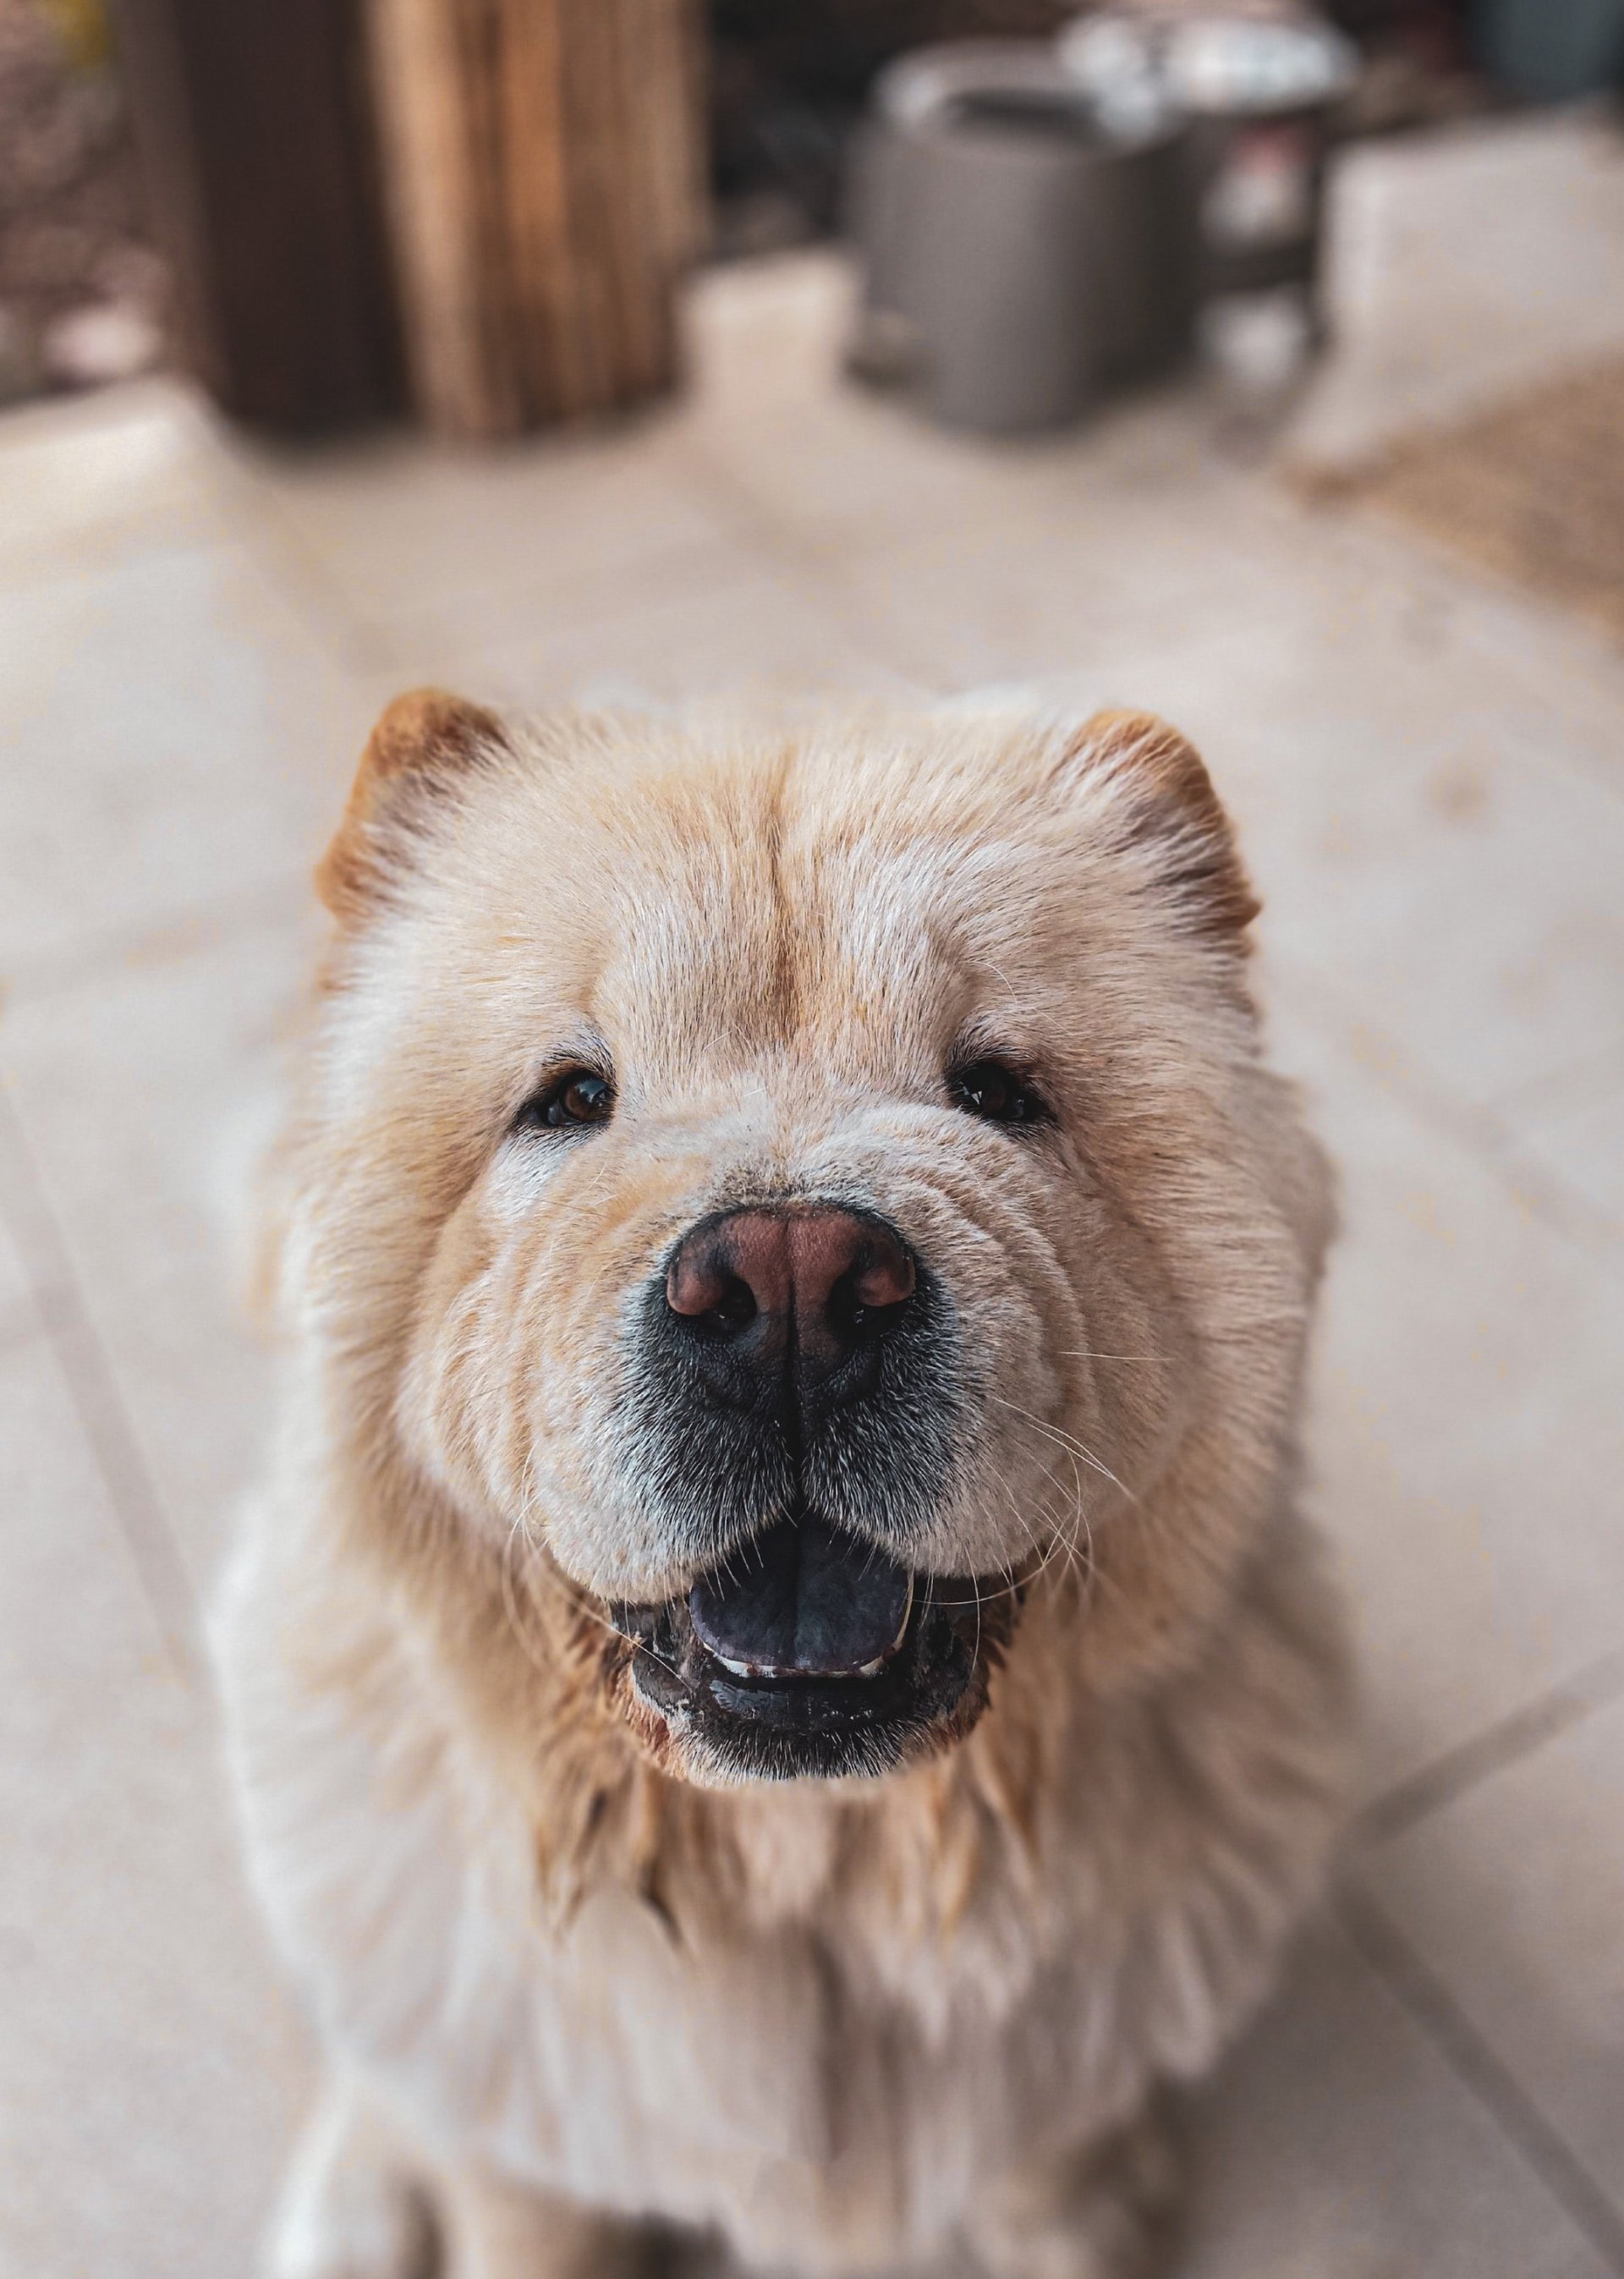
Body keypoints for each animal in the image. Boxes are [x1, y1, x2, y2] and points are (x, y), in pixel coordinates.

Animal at [218, 697, 1357, 2279]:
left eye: (997, 1091)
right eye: (571, 1099)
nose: (796, 1288)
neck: (806, 1869)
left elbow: (1044, 2156)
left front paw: (1080, 2214)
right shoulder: (533, 2141)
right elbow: (524, 2199)